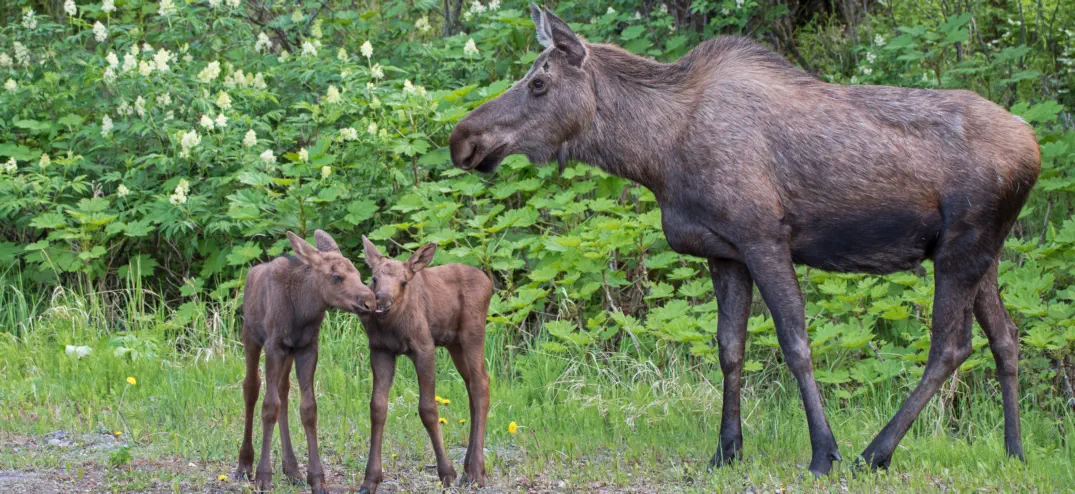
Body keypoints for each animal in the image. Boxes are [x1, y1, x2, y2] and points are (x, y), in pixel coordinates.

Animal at [233, 230, 375, 493]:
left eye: (359, 275)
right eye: (337, 277)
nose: (370, 302)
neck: (303, 310)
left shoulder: (307, 348)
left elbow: (308, 408)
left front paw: (316, 477)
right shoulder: (274, 346)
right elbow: (269, 406)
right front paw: (263, 475)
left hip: (288, 353)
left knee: (283, 391)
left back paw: (292, 469)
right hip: (250, 337)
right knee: (251, 388)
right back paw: (245, 464)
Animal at [356, 235, 493, 494]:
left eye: (403, 282)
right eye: (374, 278)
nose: (381, 302)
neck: (392, 325)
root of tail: (490, 283)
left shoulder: (424, 347)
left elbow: (428, 409)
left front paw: (447, 473)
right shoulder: (380, 350)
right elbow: (377, 407)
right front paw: (370, 480)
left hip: (473, 332)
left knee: (481, 383)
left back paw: (475, 472)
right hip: (454, 344)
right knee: (471, 385)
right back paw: (469, 468)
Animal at [449, 4, 1040, 476]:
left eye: (539, 83)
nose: (462, 139)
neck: (655, 155)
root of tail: (1033, 145)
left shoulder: (763, 238)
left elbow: (795, 344)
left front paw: (823, 453)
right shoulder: (723, 253)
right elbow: (729, 349)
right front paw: (726, 451)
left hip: (962, 247)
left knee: (950, 346)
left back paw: (875, 452)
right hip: (981, 252)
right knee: (1006, 338)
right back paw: (1014, 450)